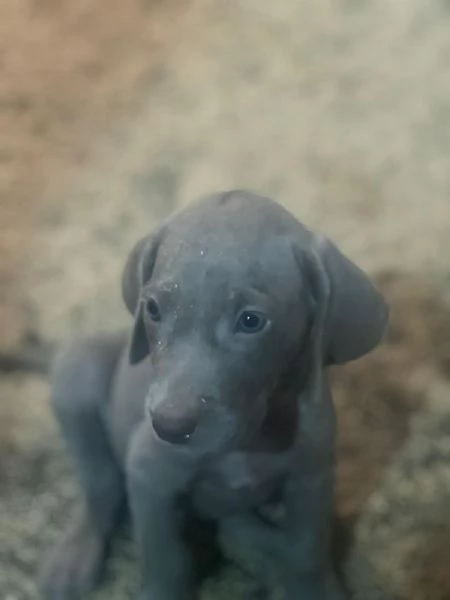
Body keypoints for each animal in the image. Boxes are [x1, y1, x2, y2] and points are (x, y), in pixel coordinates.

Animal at [40, 191, 388, 600]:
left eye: (251, 321)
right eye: (152, 308)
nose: (169, 426)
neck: (249, 442)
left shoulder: (312, 477)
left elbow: (305, 552)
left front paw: (314, 588)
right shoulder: (148, 476)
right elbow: (166, 561)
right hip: (78, 371)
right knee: (101, 485)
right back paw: (74, 557)